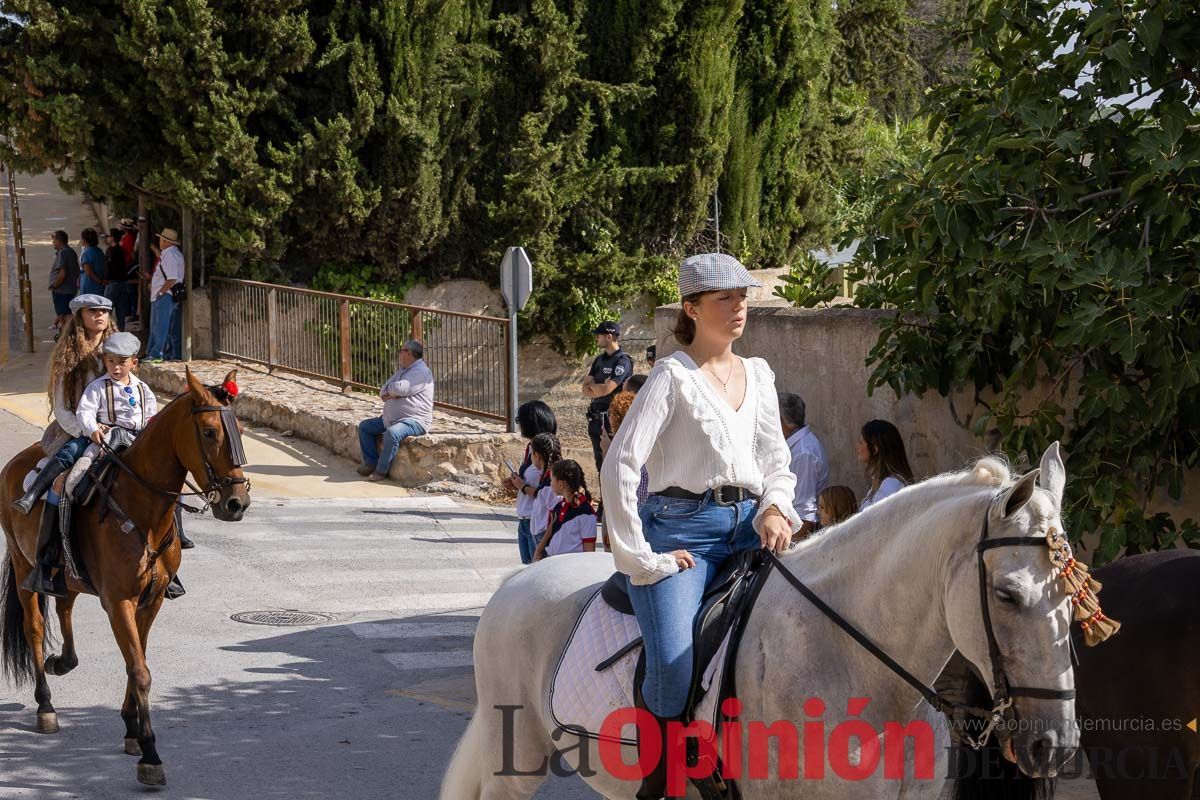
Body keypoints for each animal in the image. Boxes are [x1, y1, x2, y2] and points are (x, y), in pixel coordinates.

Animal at [0, 369, 247, 786]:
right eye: (210, 431)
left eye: (240, 430)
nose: (237, 503)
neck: (142, 509)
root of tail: (16, 463)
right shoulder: (119, 602)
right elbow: (140, 669)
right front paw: (150, 754)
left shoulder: (152, 600)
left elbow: (138, 659)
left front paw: (132, 729)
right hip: (22, 566)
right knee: (34, 627)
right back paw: (45, 704)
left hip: (67, 574)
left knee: (65, 606)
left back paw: (62, 661)